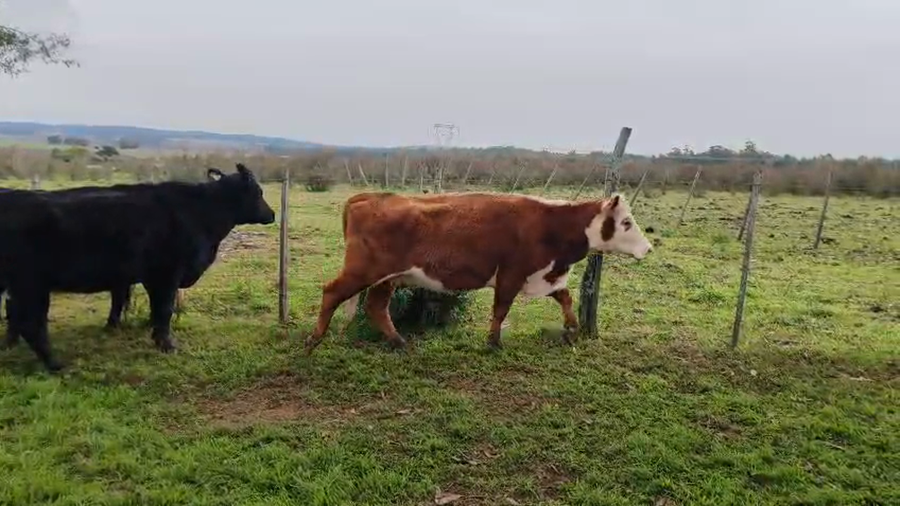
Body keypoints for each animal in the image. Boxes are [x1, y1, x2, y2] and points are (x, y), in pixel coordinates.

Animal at [0, 163, 275, 372]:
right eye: (258, 192)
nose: (272, 214)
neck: (201, 213)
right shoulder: (167, 273)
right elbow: (164, 309)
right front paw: (167, 345)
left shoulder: (148, 278)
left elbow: (146, 307)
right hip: (31, 284)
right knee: (30, 323)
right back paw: (55, 364)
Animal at [303, 191, 653, 354]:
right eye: (626, 222)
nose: (648, 248)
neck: (550, 224)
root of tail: (368, 196)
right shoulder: (510, 275)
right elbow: (501, 309)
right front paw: (494, 342)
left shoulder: (545, 274)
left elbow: (565, 297)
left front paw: (572, 329)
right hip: (363, 270)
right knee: (331, 292)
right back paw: (314, 339)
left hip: (387, 279)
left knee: (376, 307)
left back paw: (399, 342)